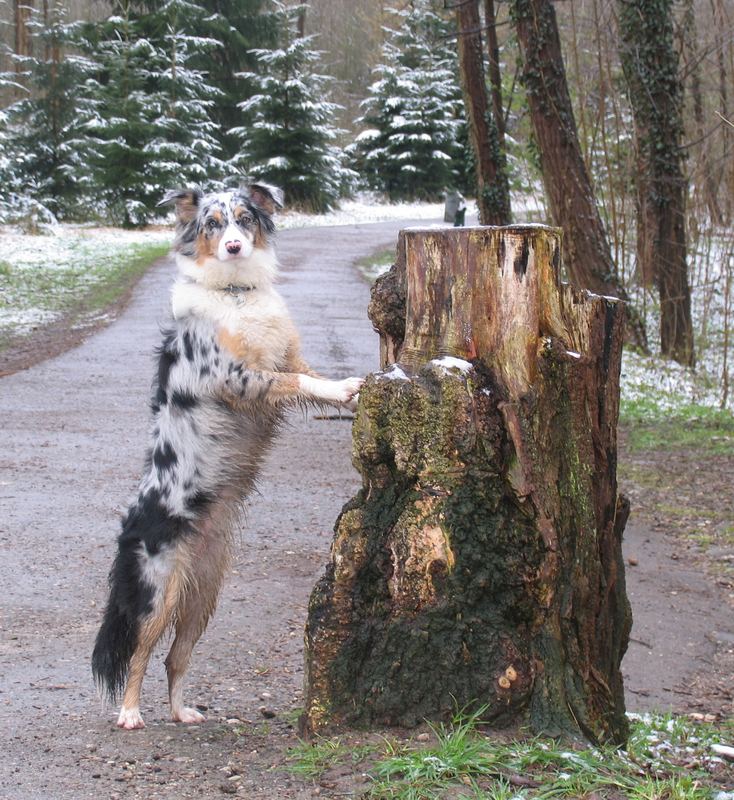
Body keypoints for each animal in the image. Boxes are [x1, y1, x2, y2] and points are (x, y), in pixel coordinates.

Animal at [93, 184, 364, 728]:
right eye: (212, 224)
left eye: (244, 218)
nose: (234, 246)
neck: (237, 291)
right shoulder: (240, 379)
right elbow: (298, 381)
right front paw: (346, 387)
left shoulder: (284, 355)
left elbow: (307, 374)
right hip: (158, 594)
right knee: (139, 653)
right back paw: (130, 713)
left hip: (203, 596)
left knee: (176, 659)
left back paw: (182, 712)